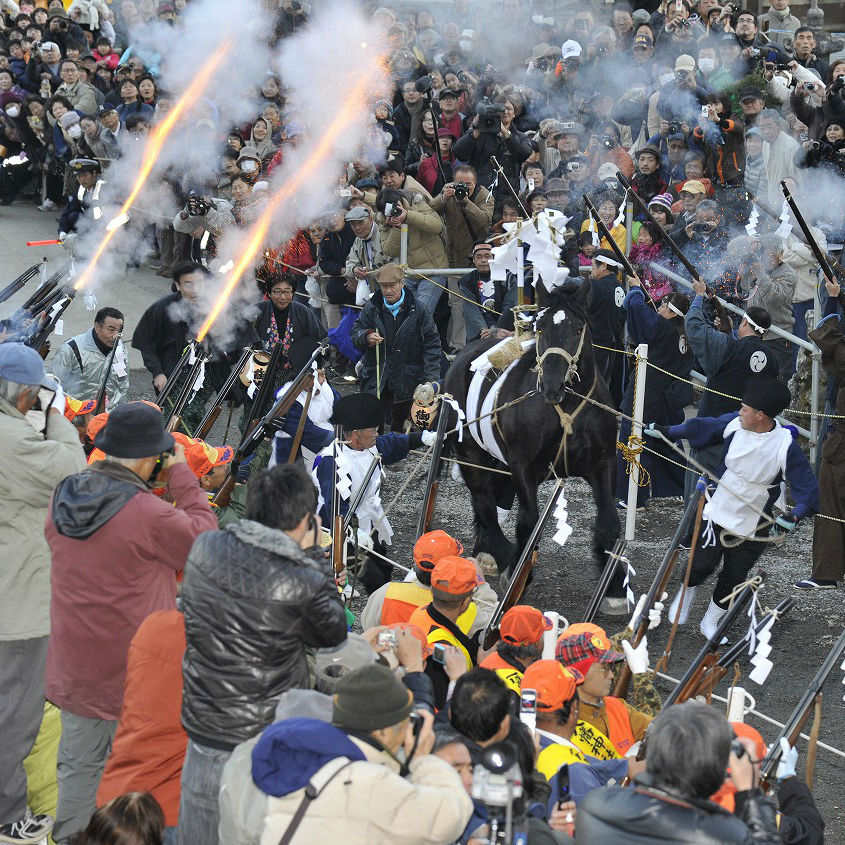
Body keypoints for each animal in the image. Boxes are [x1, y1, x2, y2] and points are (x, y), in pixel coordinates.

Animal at [446, 280, 624, 604]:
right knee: (483, 499)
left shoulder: (603, 464)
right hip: (469, 453)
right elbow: (528, 523)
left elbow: (608, 522)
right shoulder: (523, 468)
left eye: (577, 328)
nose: (553, 385)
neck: (564, 407)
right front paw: (519, 573)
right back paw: (500, 554)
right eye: (539, 328)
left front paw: (614, 586)